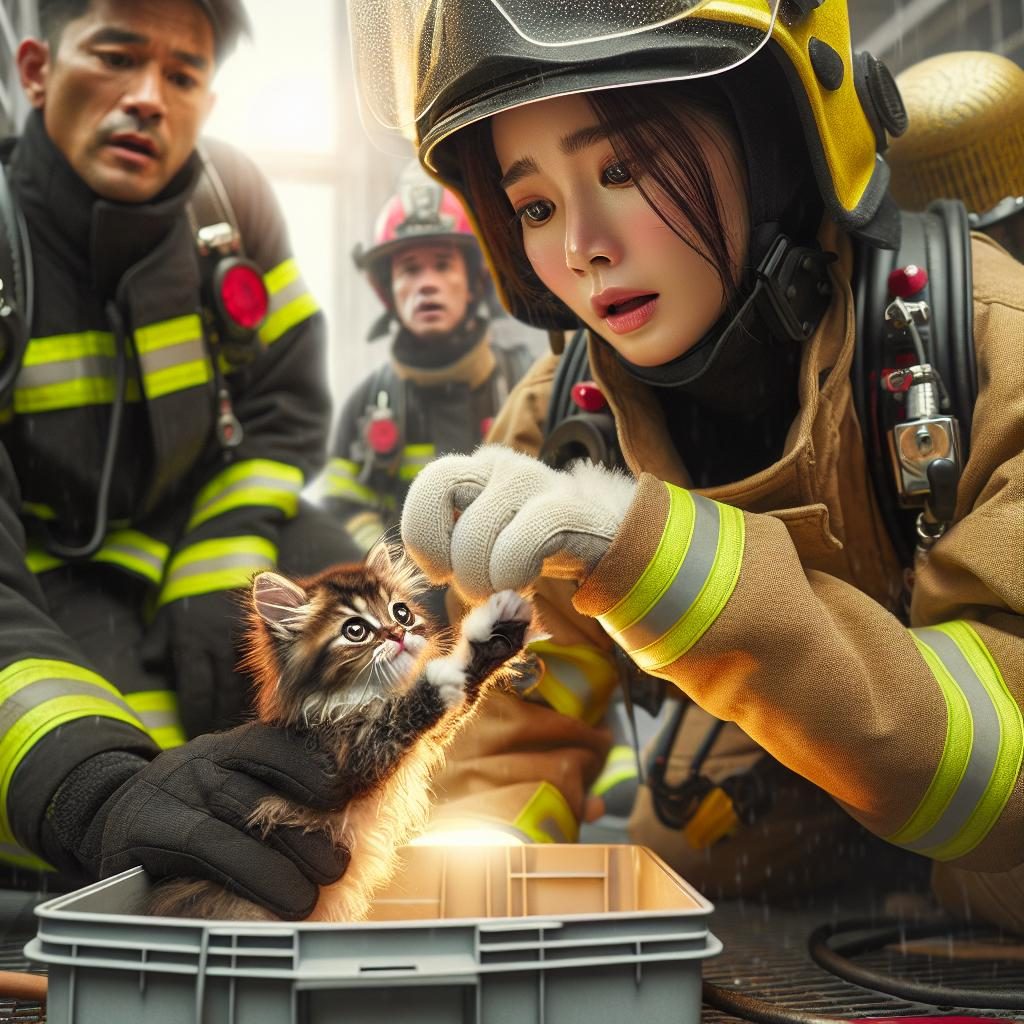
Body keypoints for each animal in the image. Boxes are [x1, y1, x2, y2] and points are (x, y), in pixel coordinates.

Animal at [148, 544, 532, 921]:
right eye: (355, 630)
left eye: (401, 613)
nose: (398, 633)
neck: (367, 695)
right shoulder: (349, 758)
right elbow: (422, 699)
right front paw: (468, 649)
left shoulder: (420, 740)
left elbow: (454, 707)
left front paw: (502, 635)